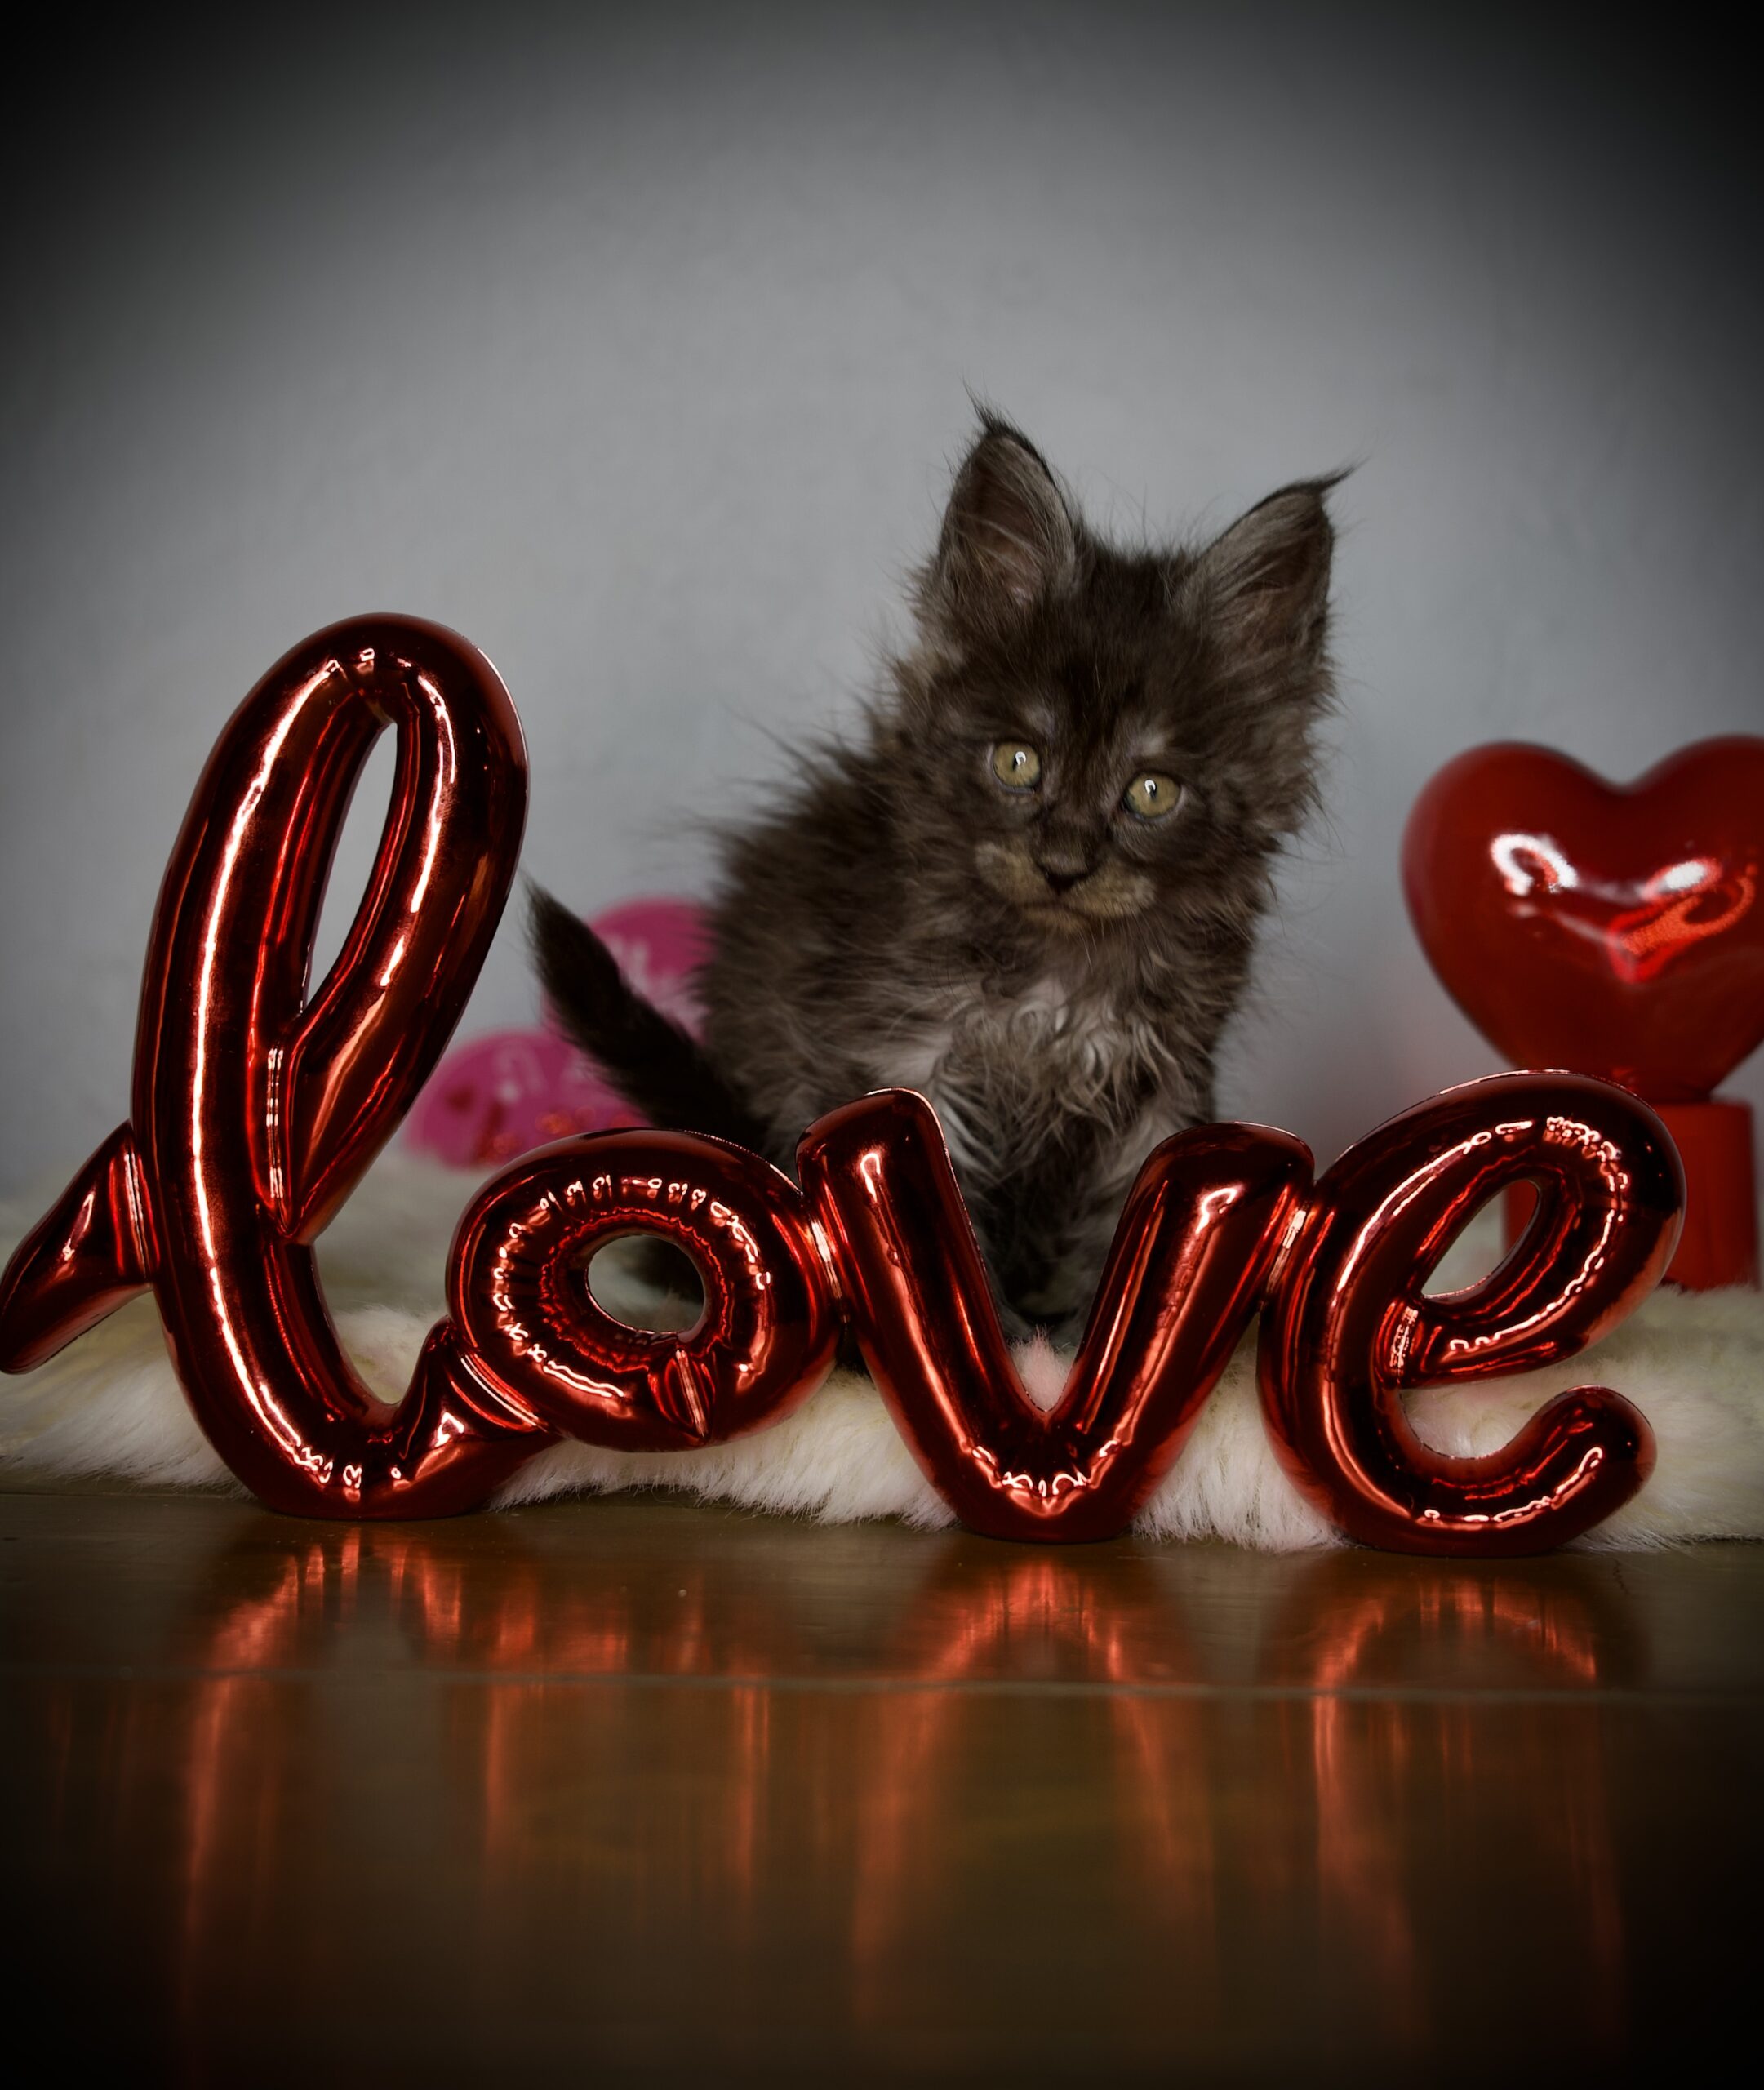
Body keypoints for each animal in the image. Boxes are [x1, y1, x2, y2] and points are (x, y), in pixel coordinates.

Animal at [532, 415, 1337, 1339]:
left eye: (1151, 791)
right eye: (1018, 761)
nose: (1063, 866)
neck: (1059, 972)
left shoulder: (1163, 1070)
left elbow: (1138, 1213)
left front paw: (1102, 1335)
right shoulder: (901, 1048)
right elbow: (929, 1218)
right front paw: (993, 1340)